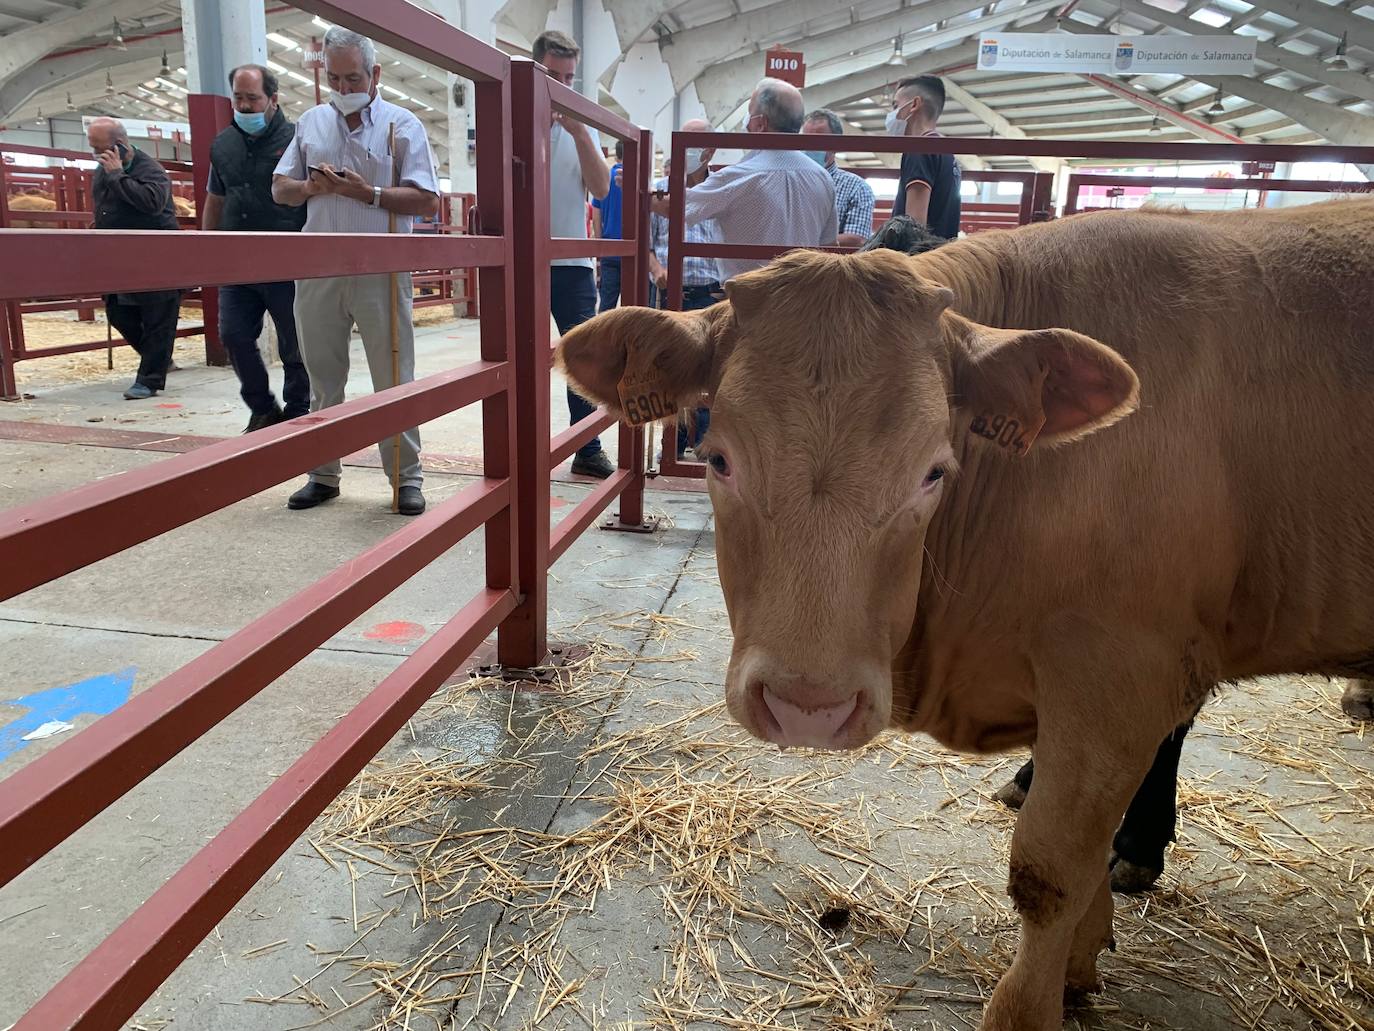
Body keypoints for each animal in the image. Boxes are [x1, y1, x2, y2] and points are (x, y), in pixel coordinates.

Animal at [557, 202, 1374, 1031]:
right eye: (718, 457)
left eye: (934, 470)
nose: (807, 705)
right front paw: (1081, 961)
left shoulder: (1121, 674)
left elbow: (1052, 869)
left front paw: (1030, 1002)